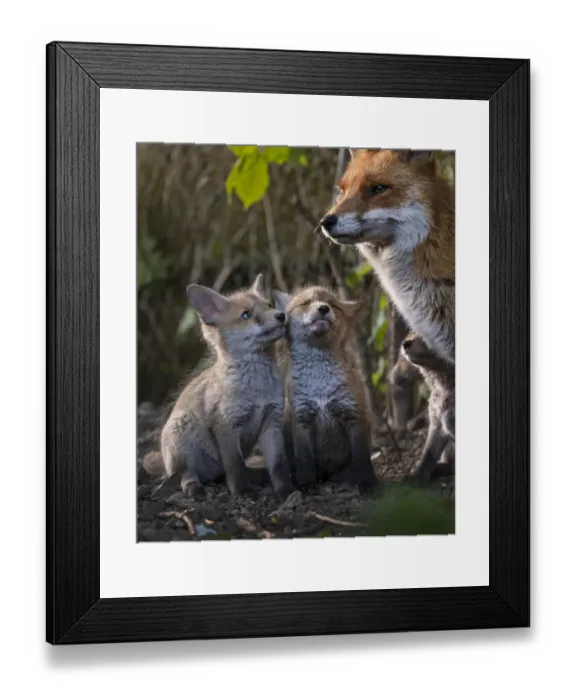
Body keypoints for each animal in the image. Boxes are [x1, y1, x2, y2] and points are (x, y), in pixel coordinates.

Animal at [143, 274, 294, 500]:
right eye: (247, 314)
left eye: (268, 305)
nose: (281, 315)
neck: (257, 390)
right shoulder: (226, 425)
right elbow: (236, 466)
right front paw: (242, 492)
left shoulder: (271, 422)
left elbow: (278, 465)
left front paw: (287, 492)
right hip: (181, 437)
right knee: (186, 475)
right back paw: (194, 487)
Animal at [273, 285, 378, 491]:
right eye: (305, 303)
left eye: (333, 305)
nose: (323, 308)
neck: (320, 387)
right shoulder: (302, 418)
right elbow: (304, 459)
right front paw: (307, 485)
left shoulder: (352, 414)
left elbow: (362, 459)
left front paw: (368, 484)